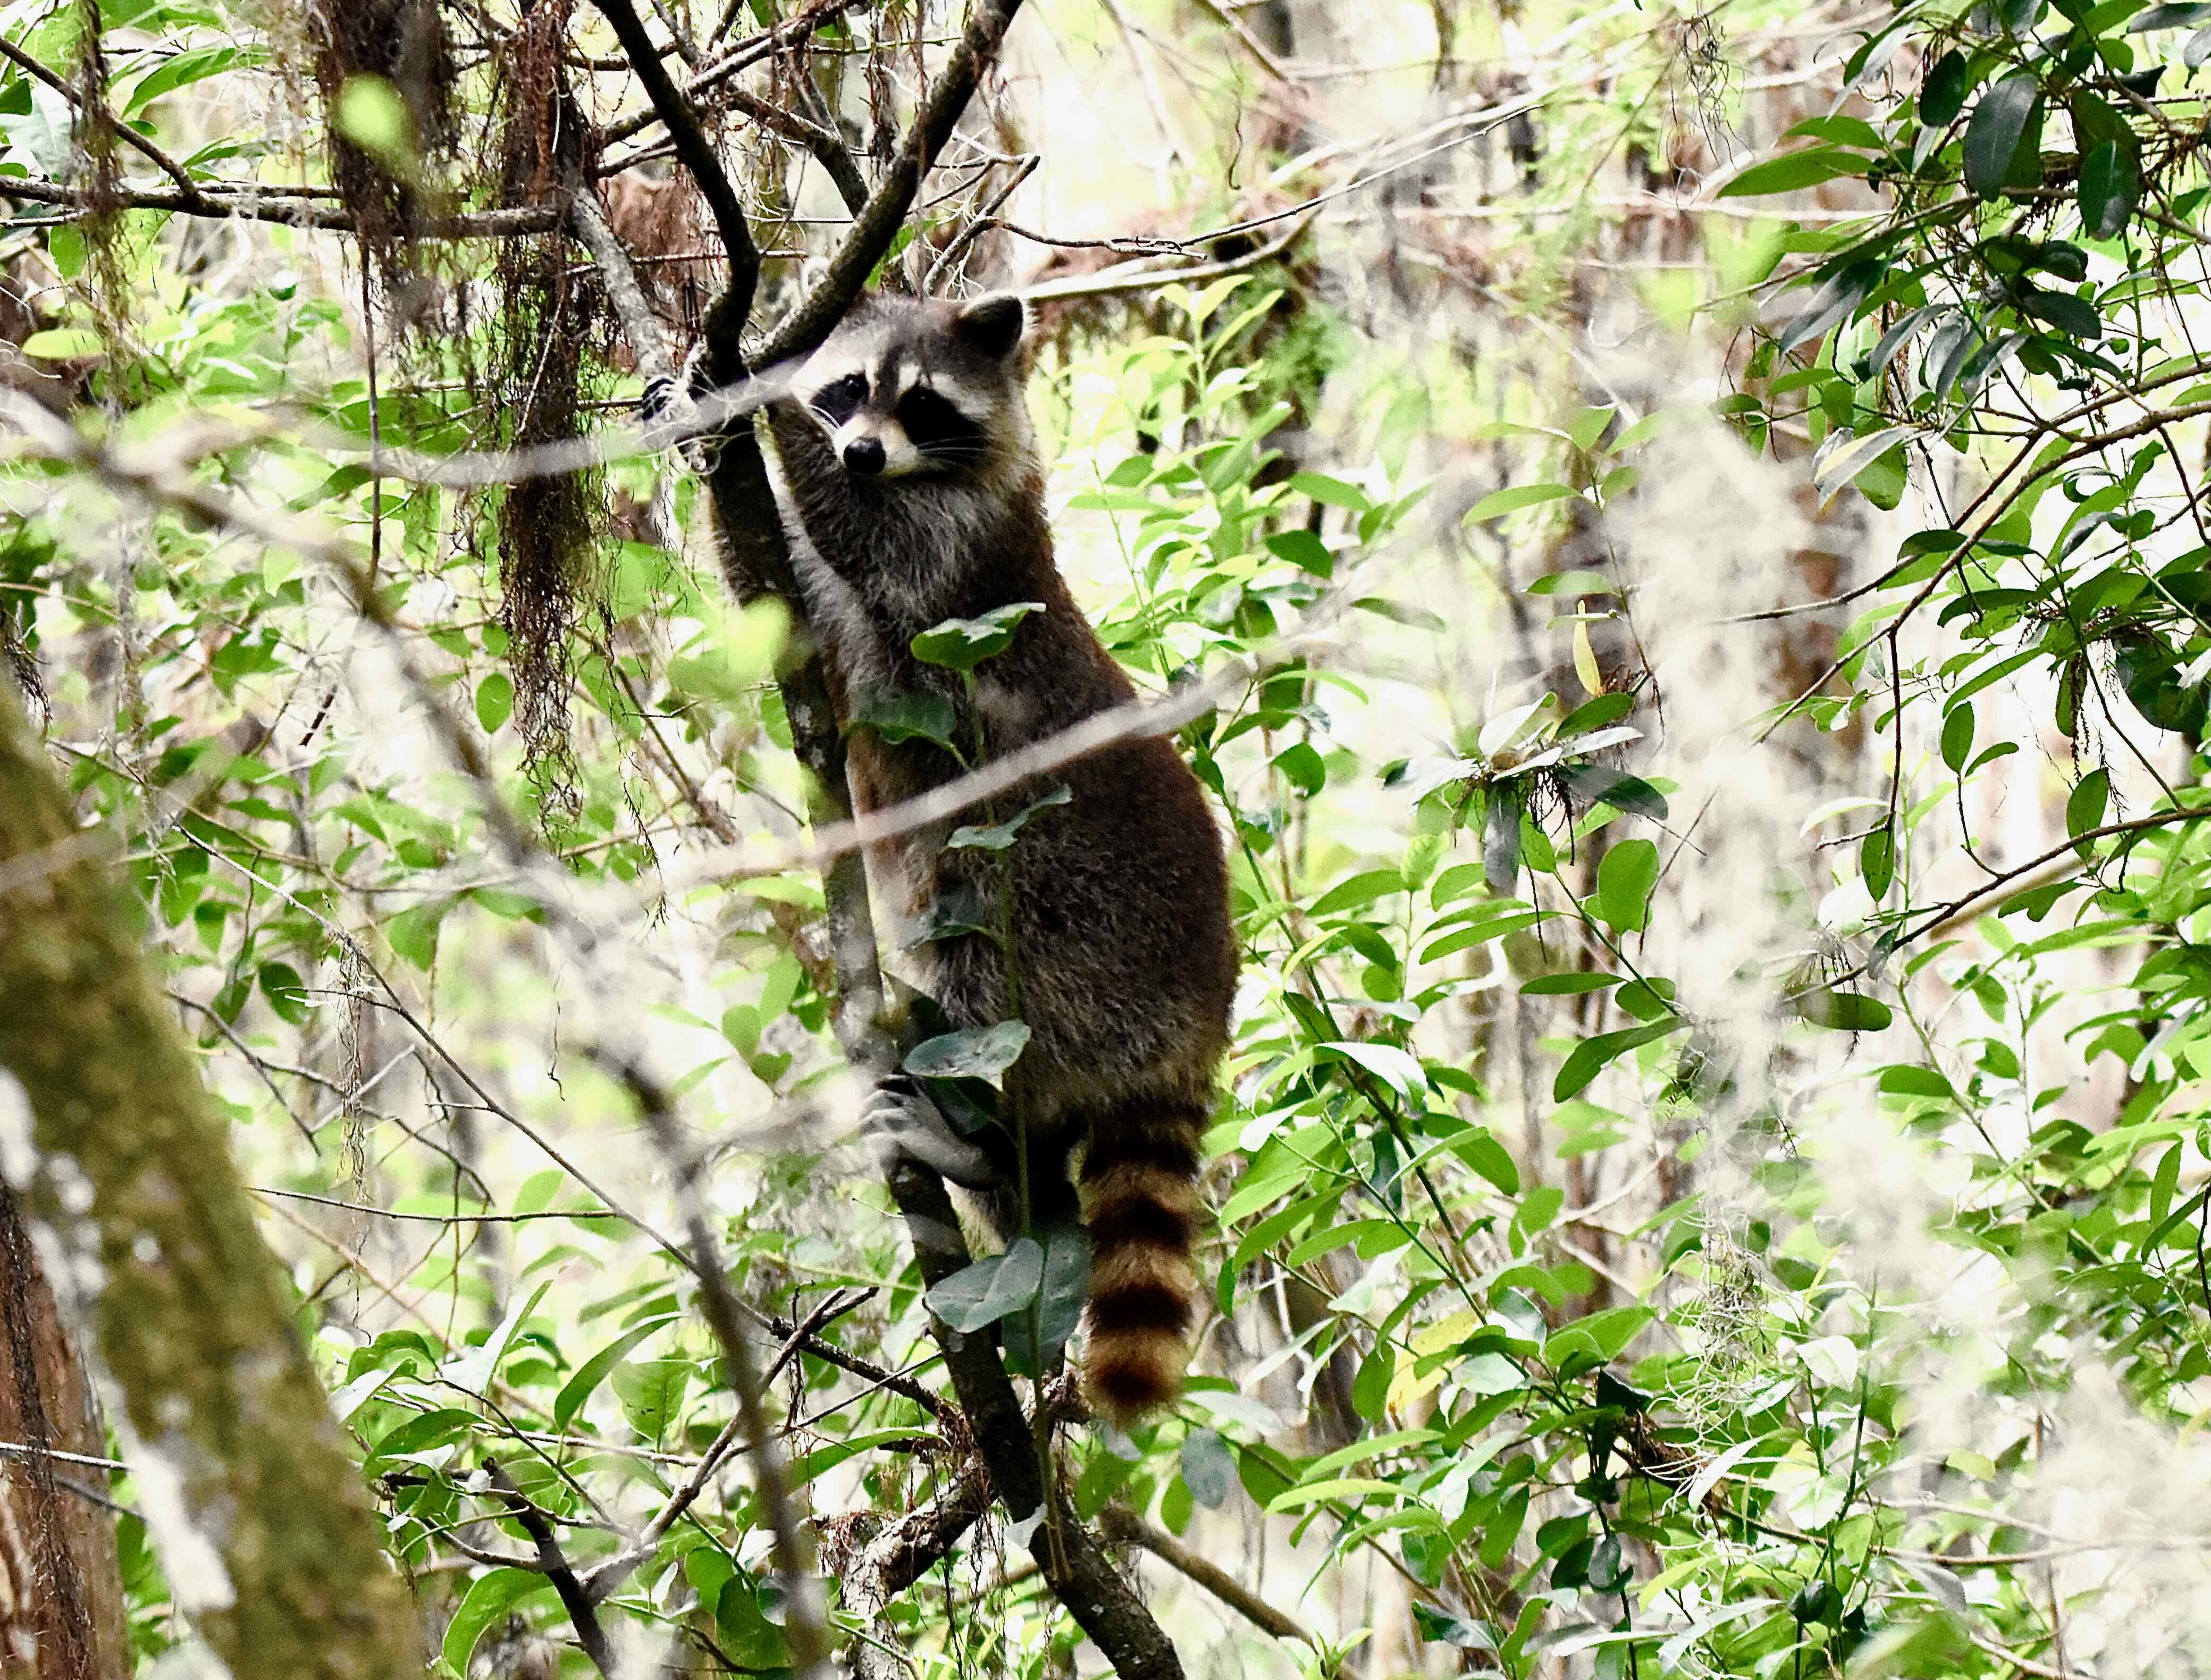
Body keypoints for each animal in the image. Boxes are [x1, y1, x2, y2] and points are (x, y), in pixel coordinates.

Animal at [698, 293, 1238, 1423]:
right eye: (851, 388)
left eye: (921, 403)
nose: (859, 450)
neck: (914, 473)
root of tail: (1197, 1023)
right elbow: (769, 595)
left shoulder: (962, 557)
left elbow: (861, 542)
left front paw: (755, 397)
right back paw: (1001, 1175)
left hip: (1079, 933)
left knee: (982, 985)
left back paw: (980, 1142)